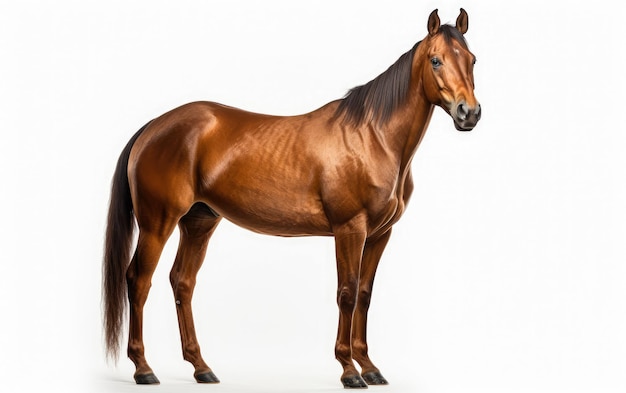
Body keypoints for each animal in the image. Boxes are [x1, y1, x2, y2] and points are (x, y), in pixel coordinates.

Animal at [105, 7, 480, 388]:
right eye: (436, 60)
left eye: (472, 60)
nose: (469, 113)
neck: (372, 137)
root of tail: (154, 126)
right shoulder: (350, 230)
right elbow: (347, 293)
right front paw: (349, 371)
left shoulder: (379, 234)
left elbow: (364, 294)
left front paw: (370, 367)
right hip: (158, 223)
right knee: (139, 281)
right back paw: (144, 368)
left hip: (199, 222)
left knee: (182, 282)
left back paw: (202, 368)